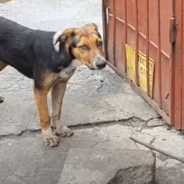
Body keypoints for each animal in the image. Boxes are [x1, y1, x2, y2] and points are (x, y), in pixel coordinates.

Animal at [0, 16, 106, 147]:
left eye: (99, 43)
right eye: (83, 47)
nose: (102, 64)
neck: (59, 55)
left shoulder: (60, 84)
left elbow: (56, 111)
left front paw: (59, 129)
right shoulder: (40, 90)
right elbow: (45, 116)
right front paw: (48, 136)